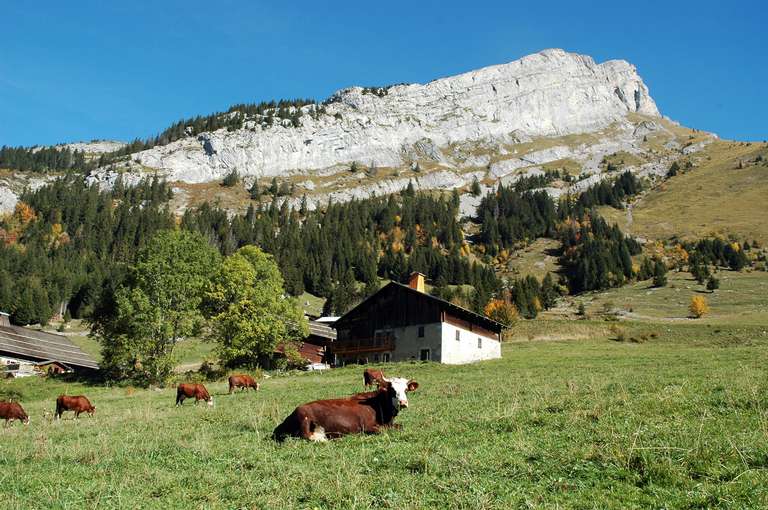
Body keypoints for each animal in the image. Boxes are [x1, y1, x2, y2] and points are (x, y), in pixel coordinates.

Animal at [272, 376, 420, 440]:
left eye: (406, 390)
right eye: (392, 390)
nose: (403, 402)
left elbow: (400, 426)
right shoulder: (368, 427)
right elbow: (381, 430)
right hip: (304, 417)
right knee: (307, 436)